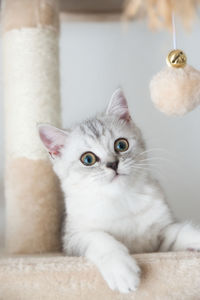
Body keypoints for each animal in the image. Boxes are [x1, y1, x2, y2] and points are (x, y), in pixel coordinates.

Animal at [38, 88, 200, 292]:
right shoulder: (72, 238)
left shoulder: (159, 236)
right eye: (88, 159)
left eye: (121, 145)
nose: (113, 164)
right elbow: (99, 238)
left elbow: (181, 232)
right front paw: (122, 271)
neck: (122, 199)